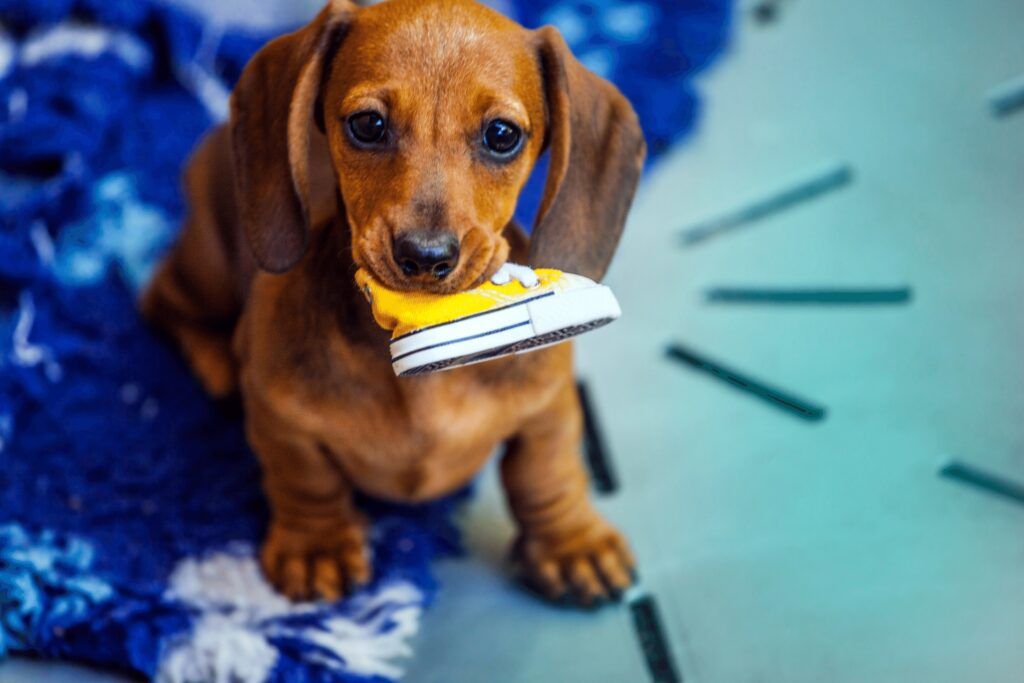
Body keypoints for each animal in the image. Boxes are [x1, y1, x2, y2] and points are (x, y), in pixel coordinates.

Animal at [141, 0, 643, 610]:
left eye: (502, 135)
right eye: (368, 124)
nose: (425, 256)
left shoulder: (549, 408)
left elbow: (548, 472)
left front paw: (572, 542)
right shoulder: (280, 420)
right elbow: (305, 478)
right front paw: (318, 546)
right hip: (207, 264)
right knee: (159, 297)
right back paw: (215, 359)